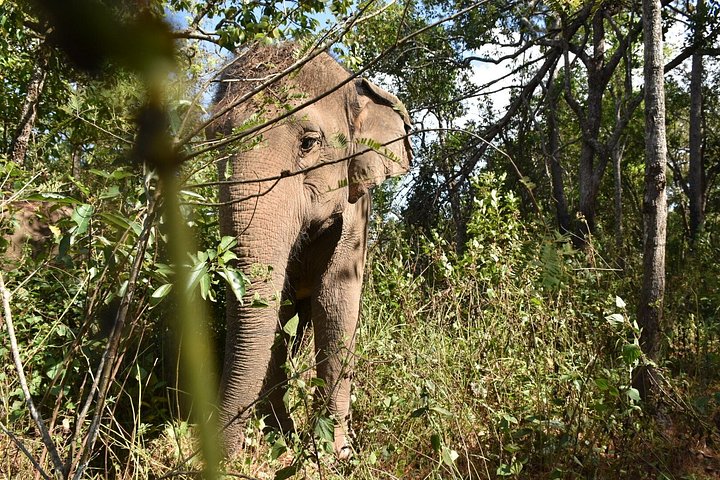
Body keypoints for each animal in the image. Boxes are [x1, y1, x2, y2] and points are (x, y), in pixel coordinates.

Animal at [208, 42, 412, 458]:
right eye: (211, 141)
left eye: (309, 142)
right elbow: (278, 311)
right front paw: (280, 441)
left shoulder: (357, 210)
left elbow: (335, 300)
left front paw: (334, 456)